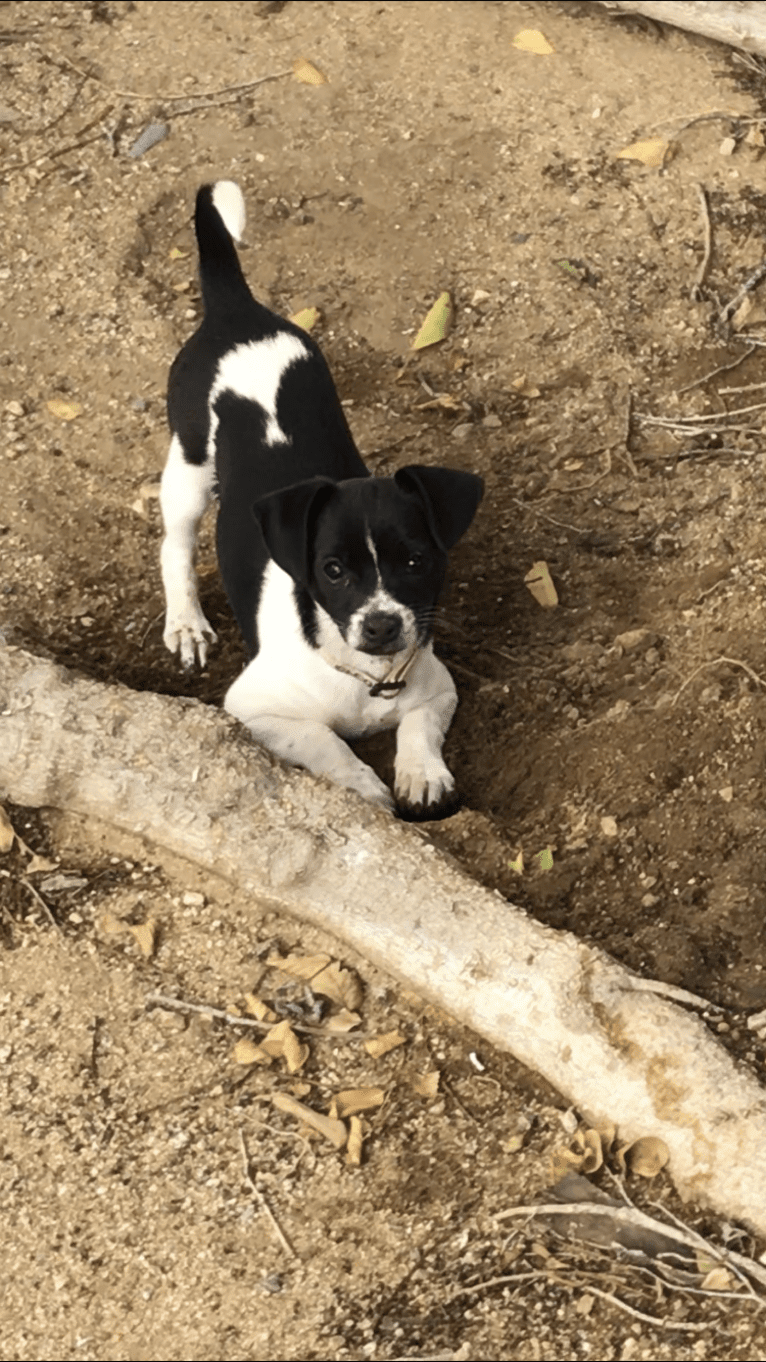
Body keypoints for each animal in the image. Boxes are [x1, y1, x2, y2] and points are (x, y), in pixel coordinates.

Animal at [160, 185, 479, 811]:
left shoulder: (437, 691)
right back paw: (186, 621)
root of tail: (237, 312)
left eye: (416, 561)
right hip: (187, 466)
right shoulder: (255, 712)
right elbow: (326, 743)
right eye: (332, 570)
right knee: (175, 545)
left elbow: (418, 727)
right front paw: (362, 785)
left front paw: (420, 772)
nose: (381, 625)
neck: (363, 674)